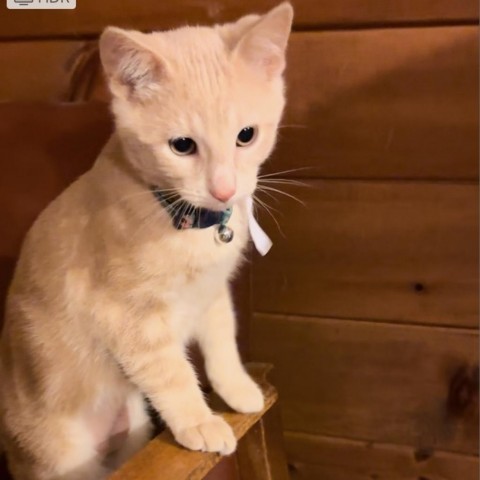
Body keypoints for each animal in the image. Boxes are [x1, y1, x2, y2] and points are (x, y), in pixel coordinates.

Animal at [0, 3, 292, 480]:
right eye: (182, 145)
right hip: (60, 456)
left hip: (132, 426)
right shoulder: (124, 316)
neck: (183, 221)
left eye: (246, 135)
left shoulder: (212, 294)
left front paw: (238, 388)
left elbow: (222, 343)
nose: (225, 190)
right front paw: (198, 420)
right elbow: (171, 373)